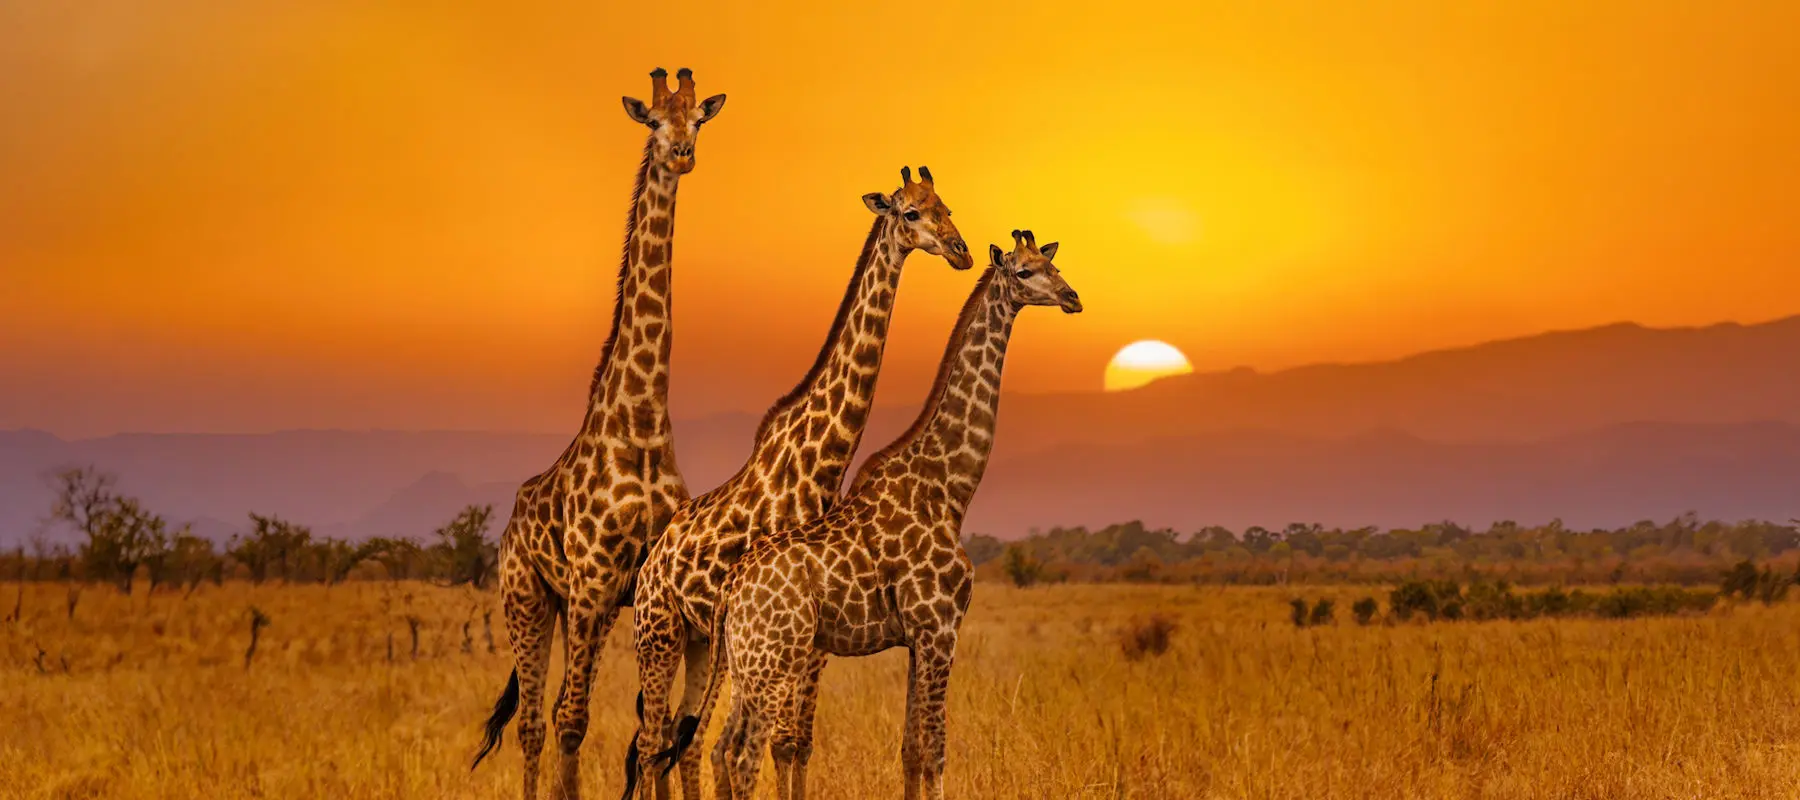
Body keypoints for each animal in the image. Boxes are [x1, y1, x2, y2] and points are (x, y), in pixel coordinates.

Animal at [470, 67, 726, 800]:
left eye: (698, 120)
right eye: (654, 121)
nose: (681, 155)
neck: (640, 422)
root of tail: (509, 525)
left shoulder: (638, 588)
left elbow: (656, 730)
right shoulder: (589, 581)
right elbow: (575, 721)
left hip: (586, 606)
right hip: (529, 599)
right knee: (537, 720)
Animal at [623, 167, 974, 800]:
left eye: (947, 208)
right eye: (911, 213)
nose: (961, 251)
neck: (822, 460)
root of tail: (650, 562)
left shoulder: (812, 639)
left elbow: (795, 744)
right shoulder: (797, 631)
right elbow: (780, 745)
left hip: (701, 642)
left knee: (675, 746)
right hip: (658, 632)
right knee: (651, 742)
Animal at [698, 230, 1080, 800]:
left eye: (1052, 264)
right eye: (1025, 272)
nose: (1073, 297)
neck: (949, 490)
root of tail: (730, 588)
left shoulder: (917, 639)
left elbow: (910, 751)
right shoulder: (940, 628)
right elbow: (936, 751)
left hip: (745, 661)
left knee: (722, 750)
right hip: (775, 657)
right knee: (744, 755)